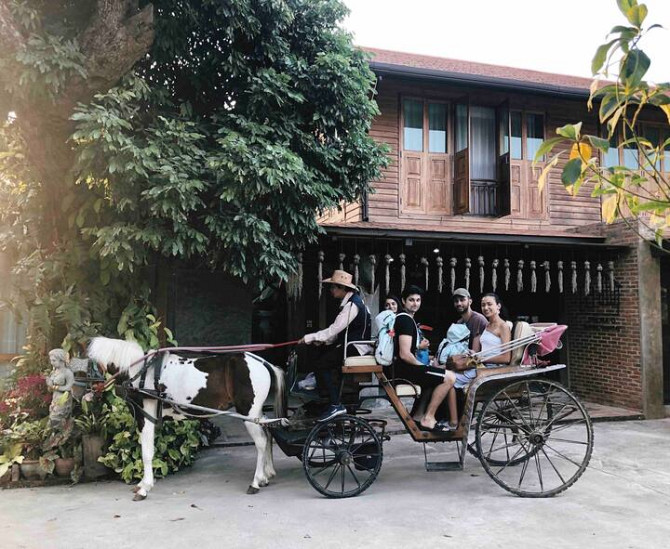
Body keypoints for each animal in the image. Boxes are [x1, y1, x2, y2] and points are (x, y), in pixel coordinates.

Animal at [86, 336, 286, 498]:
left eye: (87, 365)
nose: (86, 395)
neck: (140, 372)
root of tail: (263, 363)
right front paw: (142, 484)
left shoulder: (147, 416)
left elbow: (147, 452)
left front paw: (145, 488)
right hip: (256, 414)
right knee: (268, 435)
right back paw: (266, 476)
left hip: (248, 413)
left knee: (261, 442)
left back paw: (255, 482)